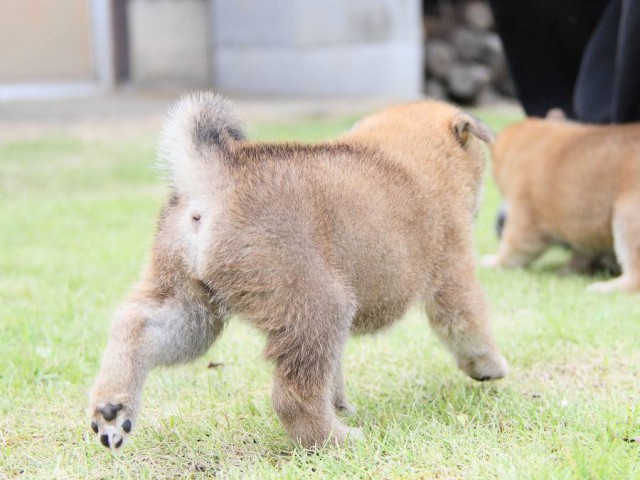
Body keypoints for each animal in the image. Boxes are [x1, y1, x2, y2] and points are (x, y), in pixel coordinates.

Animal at [484, 115, 640, 292]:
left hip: (627, 219)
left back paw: (605, 288)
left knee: (635, 275)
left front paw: (495, 262)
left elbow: (511, 247)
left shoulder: (524, 219)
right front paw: (573, 268)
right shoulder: (584, 229)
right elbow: (583, 252)